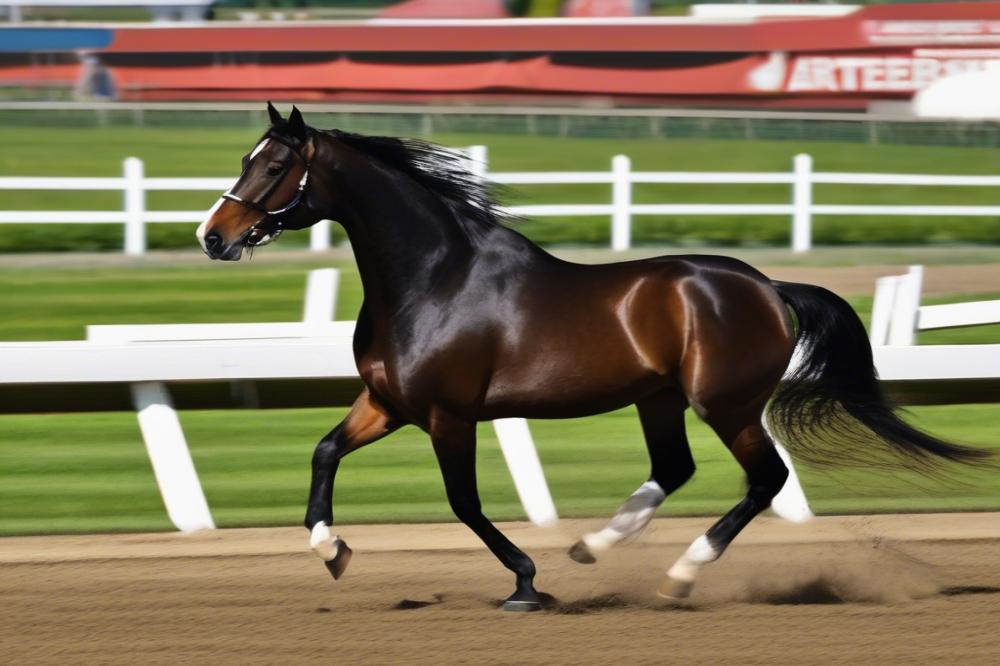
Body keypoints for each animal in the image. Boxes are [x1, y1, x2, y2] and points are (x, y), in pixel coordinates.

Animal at [195, 105, 984, 612]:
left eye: (274, 165)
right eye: (246, 159)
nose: (212, 236)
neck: (432, 278)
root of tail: (765, 285)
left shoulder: (449, 414)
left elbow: (464, 502)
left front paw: (525, 583)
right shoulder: (389, 404)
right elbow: (325, 453)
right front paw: (332, 551)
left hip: (725, 404)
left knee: (765, 479)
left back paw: (678, 576)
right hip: (660, 398)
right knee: (675, 468)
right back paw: (594, 546)